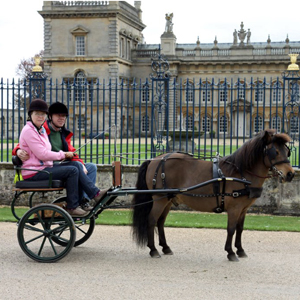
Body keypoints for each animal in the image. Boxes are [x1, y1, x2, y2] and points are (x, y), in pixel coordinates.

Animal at [132, 130, 296, 262]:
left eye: (287, 151)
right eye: (275, 151)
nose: (291, 174)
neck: (240, 173)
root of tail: (155, 159)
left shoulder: (243, 209)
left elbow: (240, 229)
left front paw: (240, 250)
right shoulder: (234, 209)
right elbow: (231, 229)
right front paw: (230, 252)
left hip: (168, 199)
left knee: (160, 222)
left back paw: (165, 247)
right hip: (160, 199)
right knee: (152, 220)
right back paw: (153, 250)